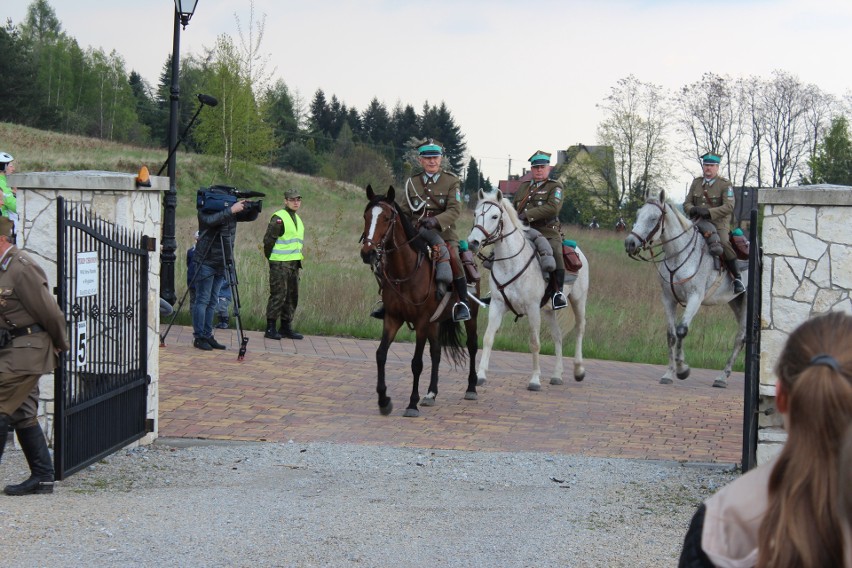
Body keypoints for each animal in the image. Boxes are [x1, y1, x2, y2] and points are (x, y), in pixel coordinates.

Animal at [360, 186, 480, 418]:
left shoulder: (422, 322)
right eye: (366, 216)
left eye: (387, 218)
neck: (405, 271)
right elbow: (381, 355)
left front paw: (411, 404)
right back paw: (431, 393)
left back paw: (471, 388)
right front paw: (384, 400)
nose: (368, 253)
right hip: (435, 323)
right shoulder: (393, 318)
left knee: (471, 346)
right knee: (436, 352)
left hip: (470, 318)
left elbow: (416, 363)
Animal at [466, 190, 584, 390]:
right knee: (558, 336)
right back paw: (557, 375)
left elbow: (535, 343)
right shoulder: (497, 305)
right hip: (549, 311)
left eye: (495, 216)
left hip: (578, 301)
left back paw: (579, 370)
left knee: (579, 330)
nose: (473, 242)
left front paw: (535, 380)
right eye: (475, 214)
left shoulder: (532, 308)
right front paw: (480, 375)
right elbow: (488, 338)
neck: (510, 262)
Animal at [624, 191, 744, 386]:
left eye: (653, 218)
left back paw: (722, 377)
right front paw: (669, 373)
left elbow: (681, 331)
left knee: (740, 338)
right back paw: (722, 376)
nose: (630, 243)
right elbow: (671, 335)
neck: (678, 254)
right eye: (638, 215)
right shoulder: (668, 299)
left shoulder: (695, 298)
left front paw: (682, 369)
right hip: (736, 302)